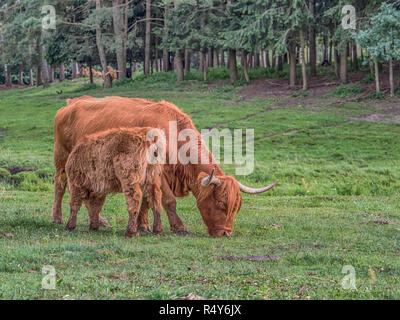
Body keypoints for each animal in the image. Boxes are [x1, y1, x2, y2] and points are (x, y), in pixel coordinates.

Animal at [53, 96, 278, 236]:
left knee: (94, 194)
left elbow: (147, 200)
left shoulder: (149, 176)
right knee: (60, 186)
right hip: (62, 160)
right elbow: (168, 201)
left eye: (236, 207)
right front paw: (178, 227)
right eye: (221, 203)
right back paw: (57, 218)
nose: (225, 233)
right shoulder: (160, 176)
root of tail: (71, 104)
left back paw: (98, 220)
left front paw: (143, 224)